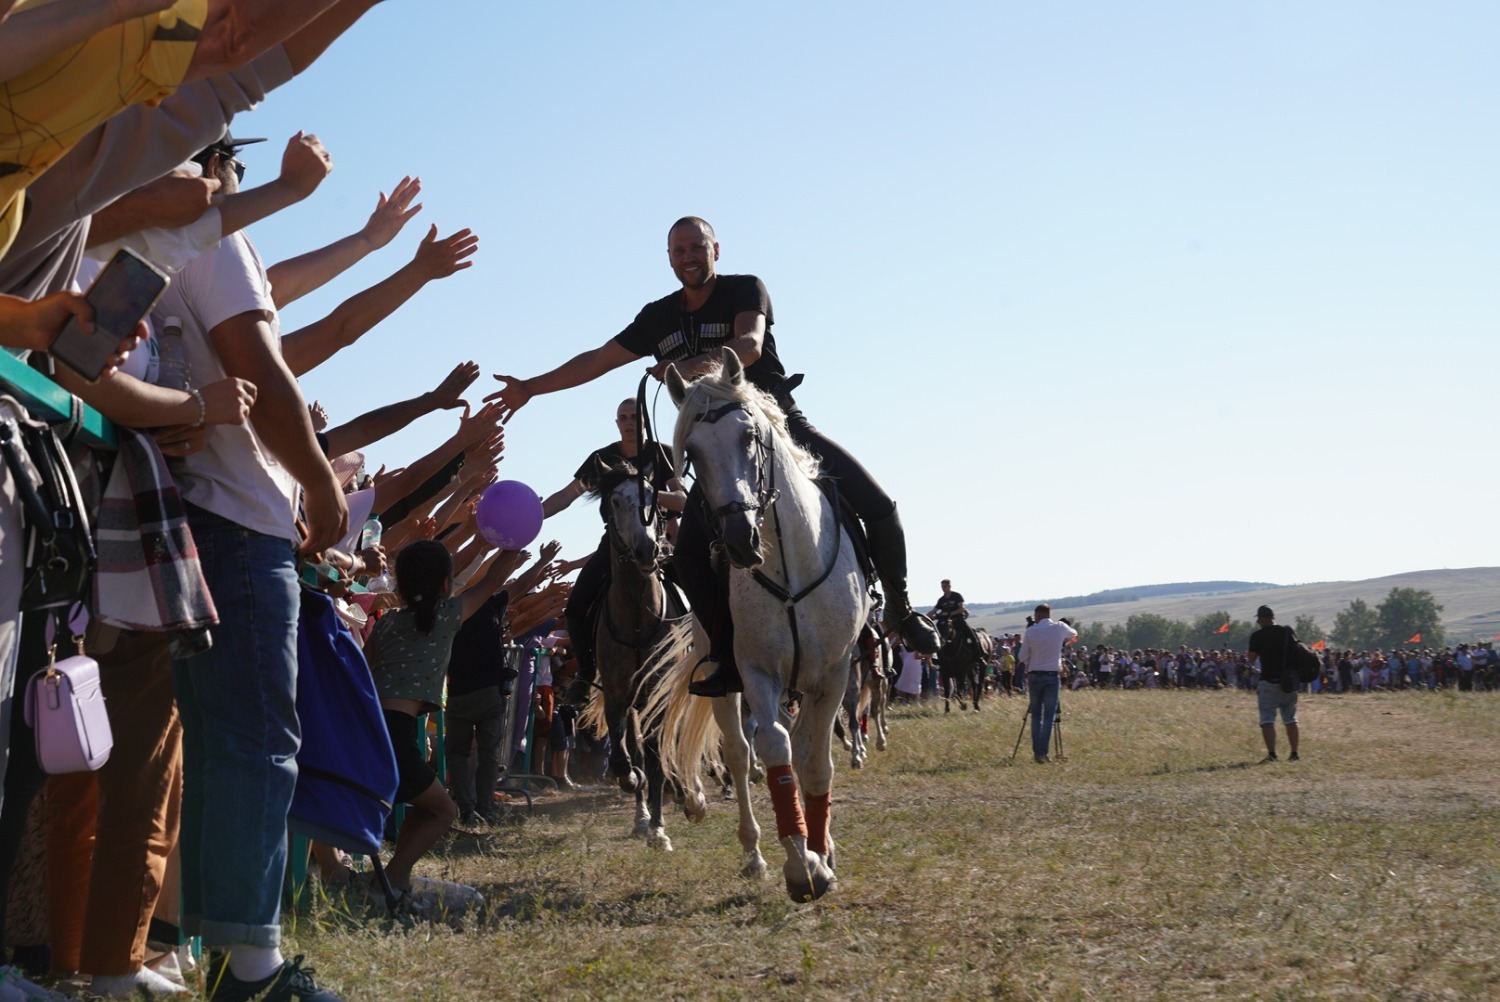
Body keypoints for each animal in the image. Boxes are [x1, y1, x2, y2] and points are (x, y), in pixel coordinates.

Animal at [583, 463, 705, 849]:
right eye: (615, 501)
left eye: (653, 497)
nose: (646, 550)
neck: (638, 617)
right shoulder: (618, 696)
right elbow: (625, 758)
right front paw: (636, 791)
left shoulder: (660, 697)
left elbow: (656, 760)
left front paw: (660, 829)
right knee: (638, 749)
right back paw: (642, 815)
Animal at [652, 348, 871, 902]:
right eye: (692, 454)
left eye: (749, 436)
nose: (737, 538)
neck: (788, 563)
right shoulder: (756, 672)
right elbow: (774, 750)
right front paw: (802, 865)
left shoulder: (833, 673)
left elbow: (815, 761)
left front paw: (822, 851)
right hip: (723, 679)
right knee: (737, 751)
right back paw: (754, 854)